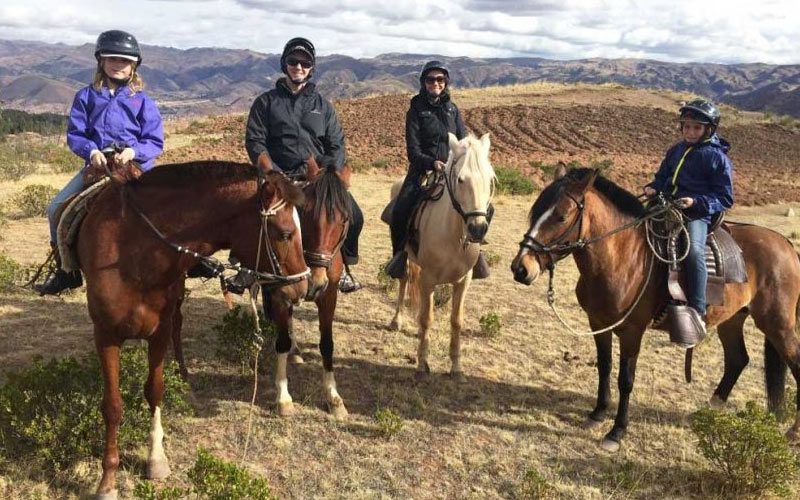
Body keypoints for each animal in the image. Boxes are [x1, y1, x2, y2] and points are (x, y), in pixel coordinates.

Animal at [78, 162, 308, 498]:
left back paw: (184, 372)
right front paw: (107, 481)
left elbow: (155, 390)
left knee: (178, 324)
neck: (133, 252)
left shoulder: (158, 332)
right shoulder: (106, 335)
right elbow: (112, 406)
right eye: (286, 233)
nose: (304, 287)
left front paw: (156, 459)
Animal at [266, 163, 354, 418]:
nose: (315, 282)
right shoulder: (280, 296)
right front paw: (283, 398)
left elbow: (327, 344)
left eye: (344, 219)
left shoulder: (329, 295)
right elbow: (282, 342)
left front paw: (334, 397)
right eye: (305, 212)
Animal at [390, 132, 494, 378]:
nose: (477, 229)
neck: (453, 232)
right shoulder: (428, 280)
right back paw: (397, 321)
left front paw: (456, 367)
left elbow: (456, 321)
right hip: (405, 258)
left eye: (489, 179)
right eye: (461, 179)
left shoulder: (463, 281)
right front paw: (421, 365)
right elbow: (427, 318)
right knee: (403, 281)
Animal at [512, 167, 800, 454]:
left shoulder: (632, 331)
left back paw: (792, 433)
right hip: (732, 319)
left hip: (778, 325)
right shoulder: (598, 323)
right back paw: (708, 411)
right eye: (536, 211)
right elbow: (604, 367)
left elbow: (625, 379)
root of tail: (787, 245)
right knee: (737, 360)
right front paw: (598, 413)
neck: (623, 258)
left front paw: (617, 431)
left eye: (561, 216)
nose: (520, 268)